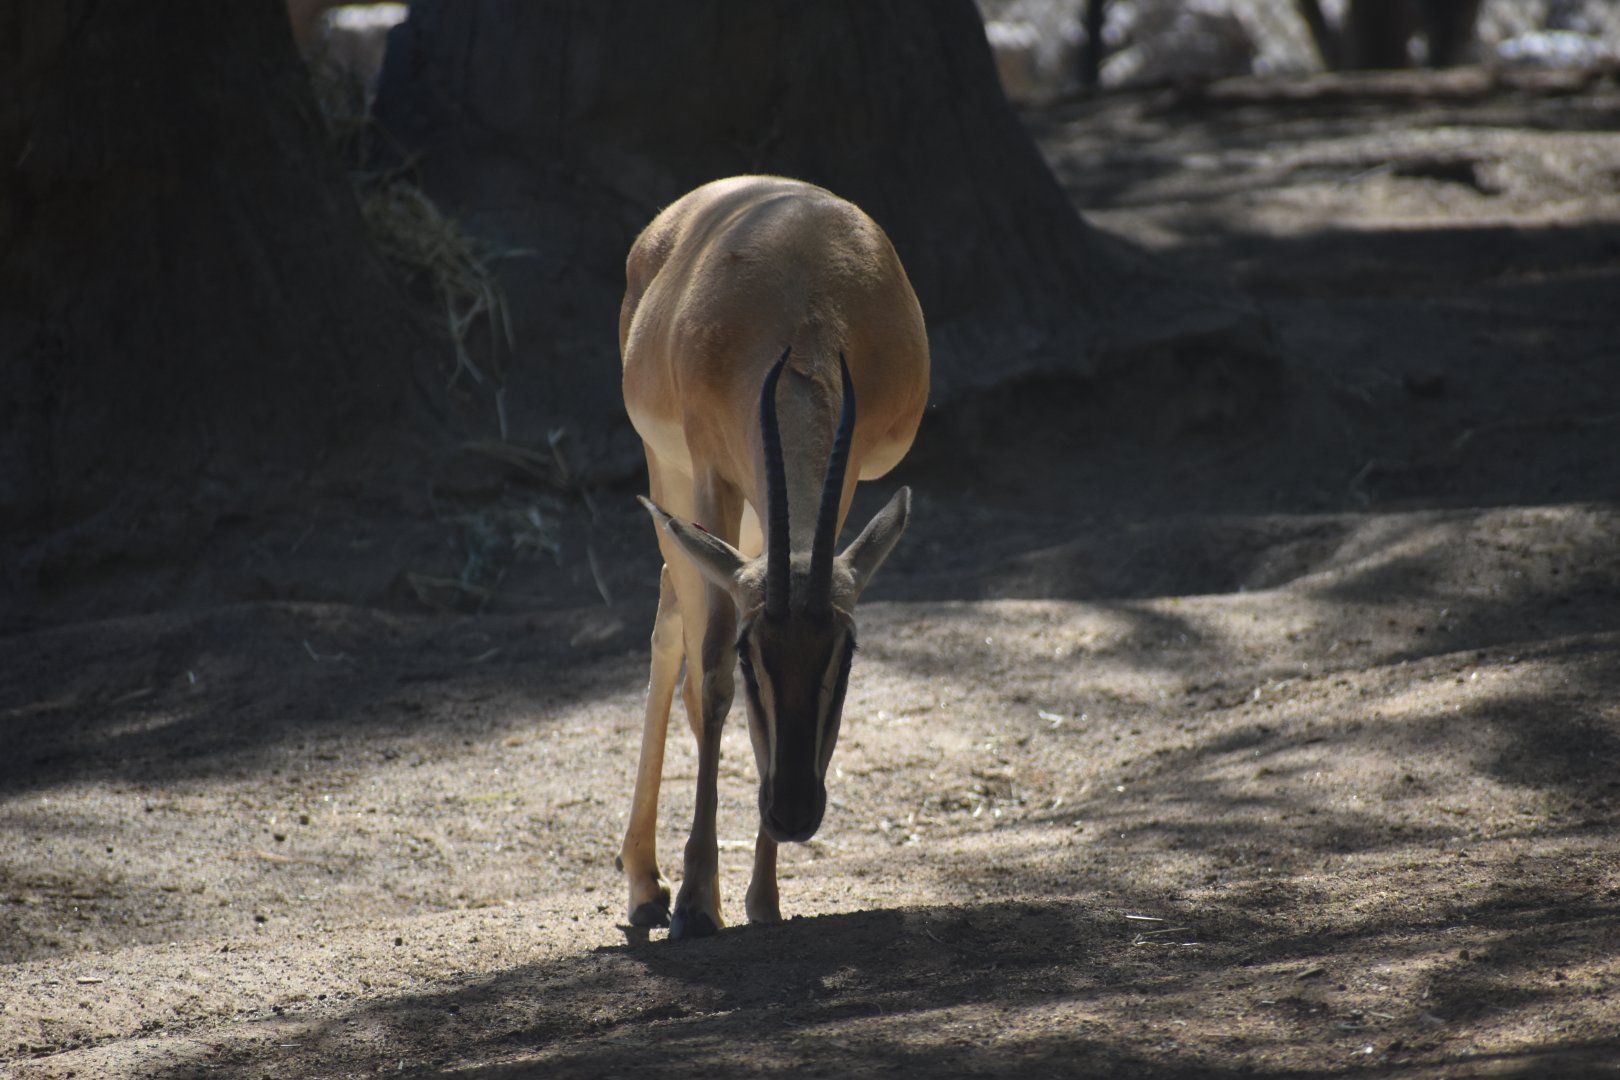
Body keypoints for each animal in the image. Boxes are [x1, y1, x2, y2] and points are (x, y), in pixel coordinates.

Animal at [616, 176, 929, 938]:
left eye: (844, 653)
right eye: (752, 656)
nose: (791, 812)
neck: (802, 313)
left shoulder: (841, 486)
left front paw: (764, 900)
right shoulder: (709, 474)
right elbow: (709, 674)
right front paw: (697, 902)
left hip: (758, 515)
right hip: (670, 473)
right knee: (673, 627)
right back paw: (645, 888)